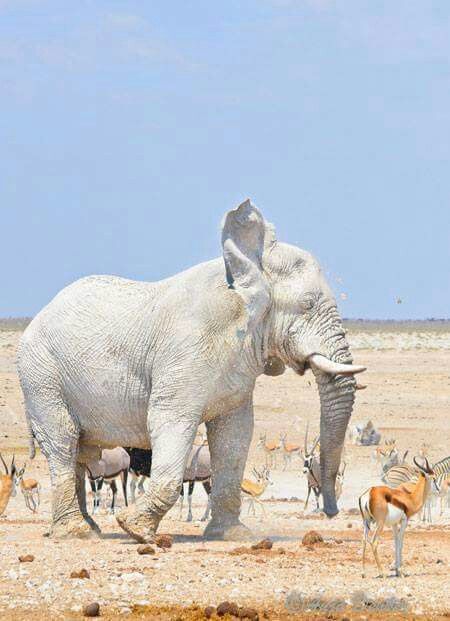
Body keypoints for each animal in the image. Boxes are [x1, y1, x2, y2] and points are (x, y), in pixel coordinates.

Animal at [17, 201, 366, 540]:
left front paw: (231, 535)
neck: (244, 278)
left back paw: (88, 528)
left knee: (80, 453)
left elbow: (235, 434)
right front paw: (135, 529)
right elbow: (170, 420)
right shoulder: (184, 353)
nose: (331, 512)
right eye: (307, 304)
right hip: (41, 376)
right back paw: (75, 532)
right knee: (63, 443)